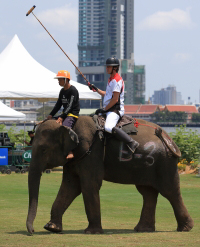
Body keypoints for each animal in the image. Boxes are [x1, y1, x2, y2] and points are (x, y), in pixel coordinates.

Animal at [25, 116, 193, 234]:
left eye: (44, 149)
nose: (32, 231)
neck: (69, 124)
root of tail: (168, 138)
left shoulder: (91, 152)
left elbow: (89, 185)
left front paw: (91, 232)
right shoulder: (75, 159)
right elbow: (70, 186)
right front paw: (51, 227)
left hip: (164, 163)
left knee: (170, 191)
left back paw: (185, 228)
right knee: (147, 192)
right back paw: (143, 229)